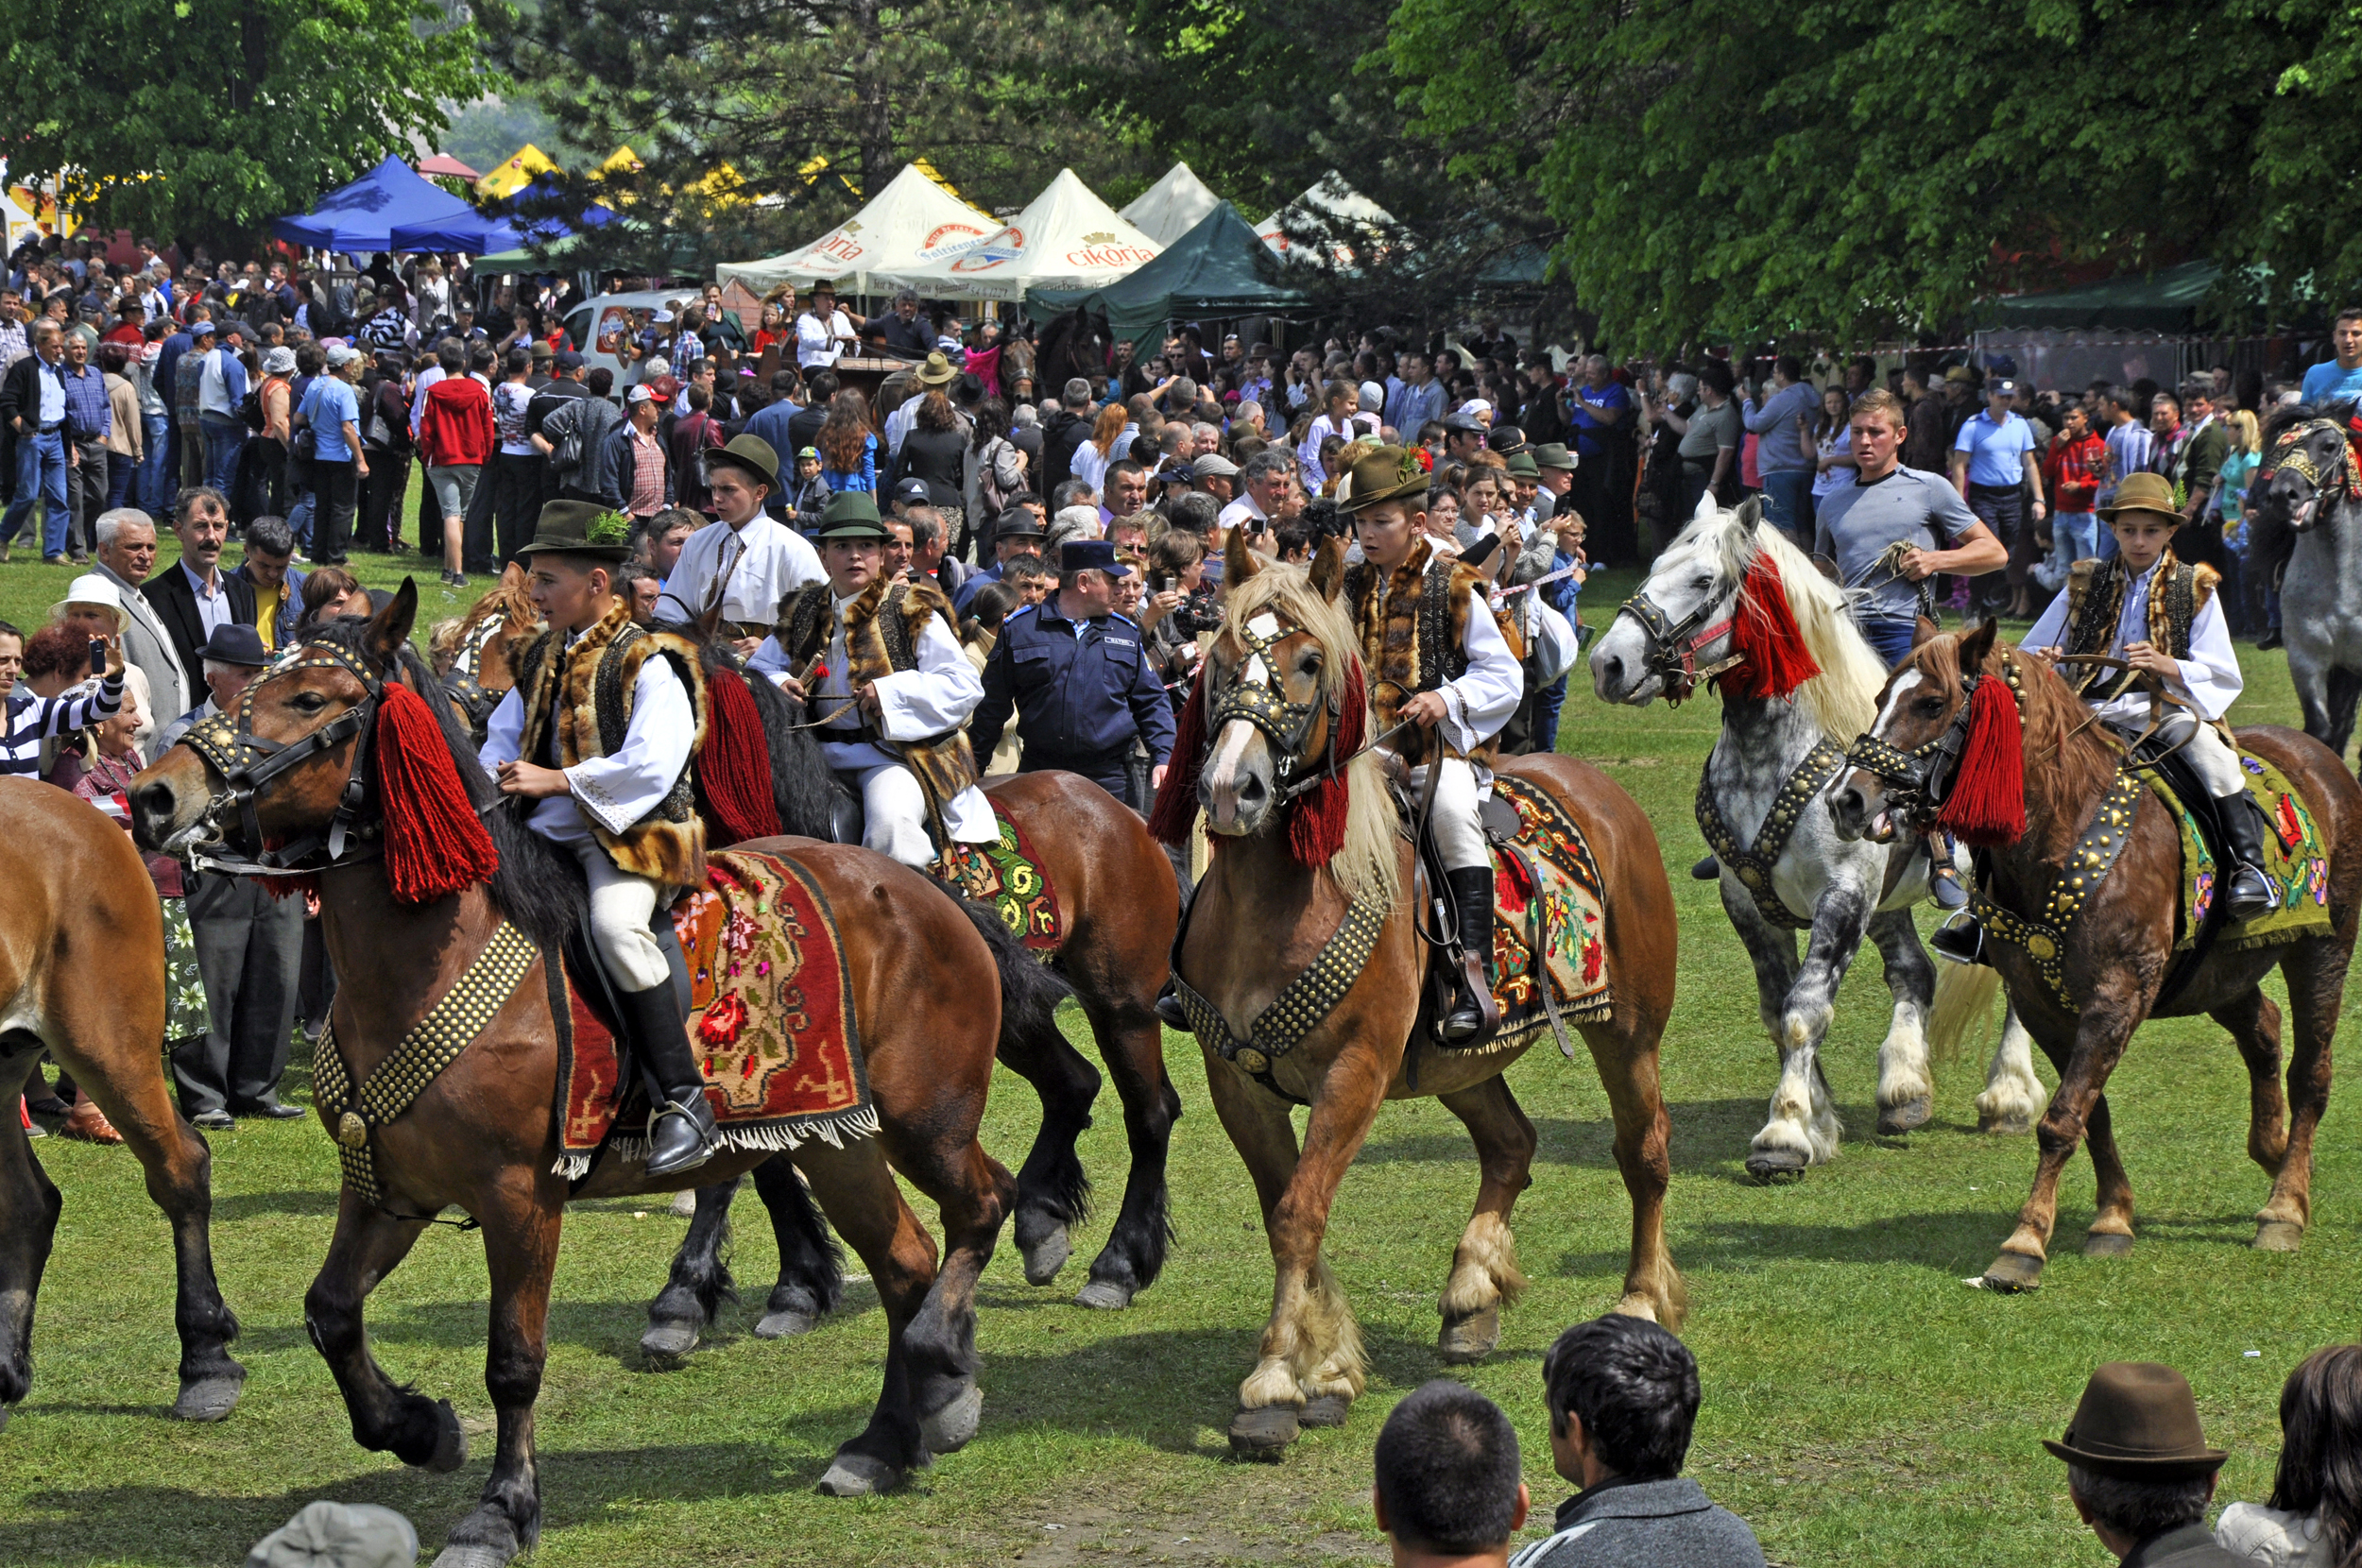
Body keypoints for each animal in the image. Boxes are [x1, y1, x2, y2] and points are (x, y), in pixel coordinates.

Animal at [124, 581, 1025, 1559]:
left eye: (310, 699)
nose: (153, 794)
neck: (426, 961)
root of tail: (930, 890)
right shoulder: (386, 1187)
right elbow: (330, 1312)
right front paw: (416, 1429)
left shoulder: (520, 1197)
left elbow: (514, 1361)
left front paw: (501, 1509)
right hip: (841, 1143)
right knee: (905, 1264)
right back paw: (883, 1443)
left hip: (927, 1123)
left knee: (983, 1209)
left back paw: (941, 1370)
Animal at [638, 770, 1181, 1360]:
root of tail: (1119, 809)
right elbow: (761, 1170)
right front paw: (792, 1288)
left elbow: (733, 1174)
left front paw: (686, 1298)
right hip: (1011, 1012)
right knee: (1072, 1084)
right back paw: (1040, 1221)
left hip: (1120, 1003)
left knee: (1148, 1114)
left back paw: (1118, 1266)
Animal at [1162, 538, 1682, 1455]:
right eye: (1219, 660)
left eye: (1308, 662)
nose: (1231, 788)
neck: (1277, 908)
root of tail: (1604, 797)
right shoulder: (1240, 1085)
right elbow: (1285, 1208)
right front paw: (1327, 1365)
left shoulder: (1353, 1074)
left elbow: (1299, 1211)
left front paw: (1275, 1382)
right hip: (1461, 1061)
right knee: (1511, 1144)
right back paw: (1472, 1292)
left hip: (1630, 1035)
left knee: (1643, 1152)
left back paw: (1640, 1301)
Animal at [1833, 619, 2353, 1294]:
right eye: (1880, 699)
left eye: (1932, 703)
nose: (1848, 799)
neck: (2064, 832)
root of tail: (2320, 757)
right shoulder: (2043, 1004)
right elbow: (2088, 1113)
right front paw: (2112, 1219)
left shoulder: (2116, 995)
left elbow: (2062, 1119)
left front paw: (2024, 1244)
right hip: (2217, 971)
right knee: (2262, 1028)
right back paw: (2271, 1146)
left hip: (2325, 949)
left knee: (2311, 1073)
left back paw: (2285, 1207)